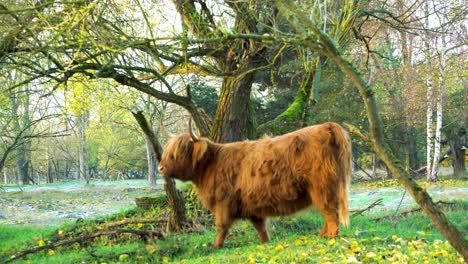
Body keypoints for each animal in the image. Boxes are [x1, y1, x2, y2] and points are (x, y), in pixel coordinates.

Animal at [158, 120, 352, 249]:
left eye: (177, 153)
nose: (160, 168)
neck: (211, 164)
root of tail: (327, 126)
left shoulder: (223, 202)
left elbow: (221, 226)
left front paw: (215, 246)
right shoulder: (251, 205)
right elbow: (260, 226)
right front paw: (265, 242)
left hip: (322, 187)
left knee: (330, 212)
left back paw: (330, 237)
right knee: (328, 212)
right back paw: (322, 235)